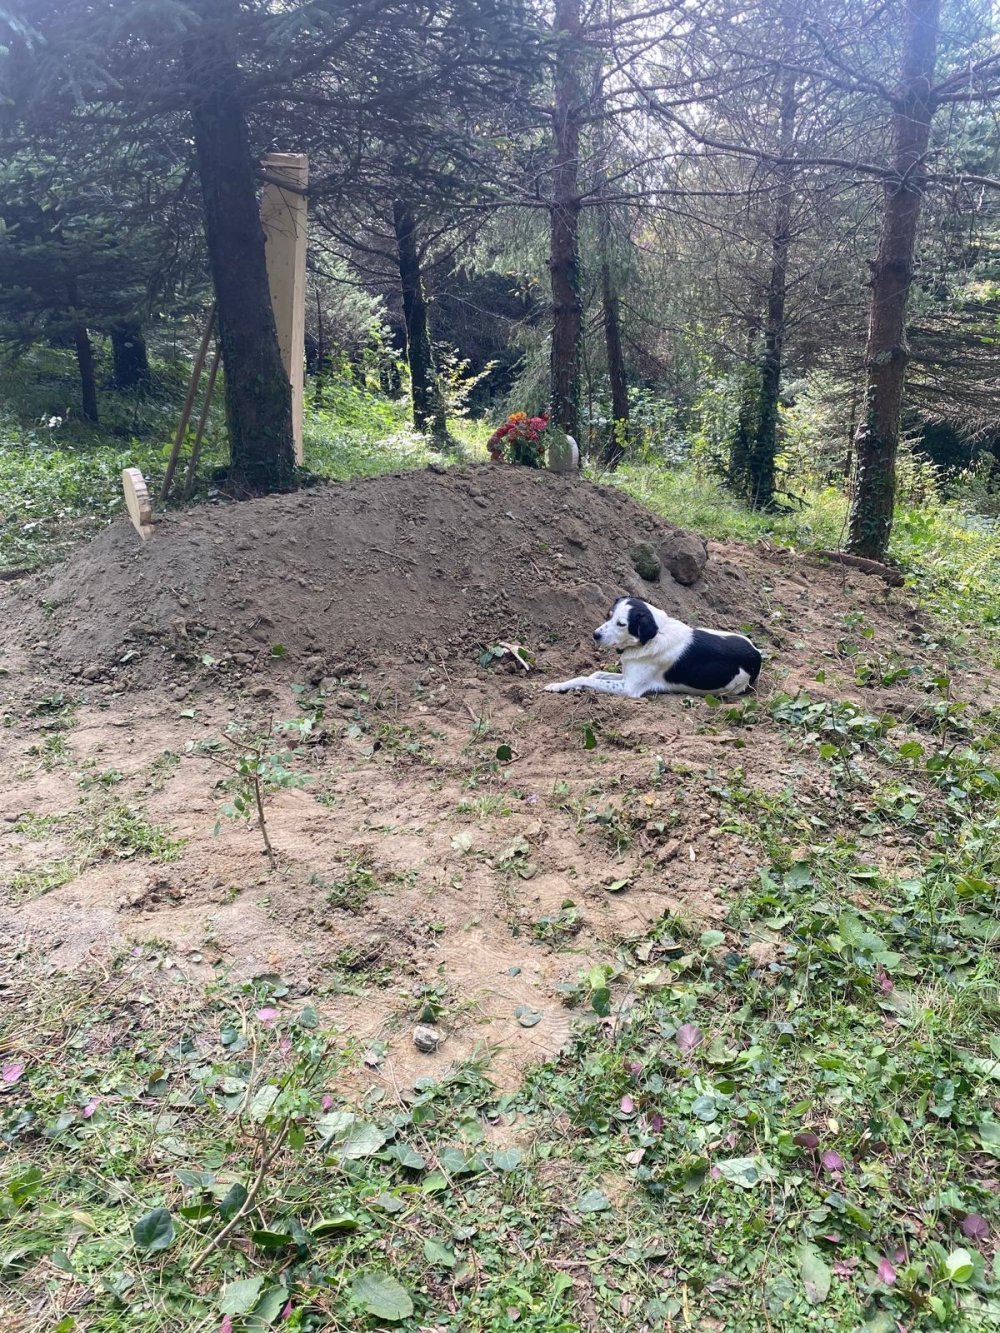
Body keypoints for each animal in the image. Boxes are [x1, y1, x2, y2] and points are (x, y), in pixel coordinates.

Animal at [544, 594, 762, 698]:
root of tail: (757, 654)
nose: (595, 635)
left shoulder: (629, 688)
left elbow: (586, 678)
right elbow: (595, 674)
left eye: (621, 624)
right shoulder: (626, 675)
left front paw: (557, 685)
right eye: (608, 615)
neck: (652, 637)